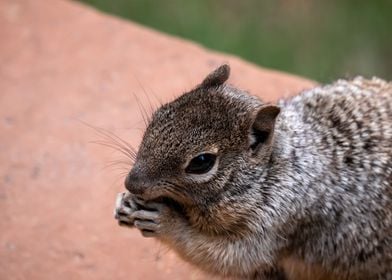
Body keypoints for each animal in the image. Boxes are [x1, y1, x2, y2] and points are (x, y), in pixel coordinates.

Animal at [115, 64, 390, 278]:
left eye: (202, 162)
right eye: (159, 114)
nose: (132, 183)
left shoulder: (276, 222)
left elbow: (227, 257)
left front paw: (166, 221)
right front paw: (124, 203)